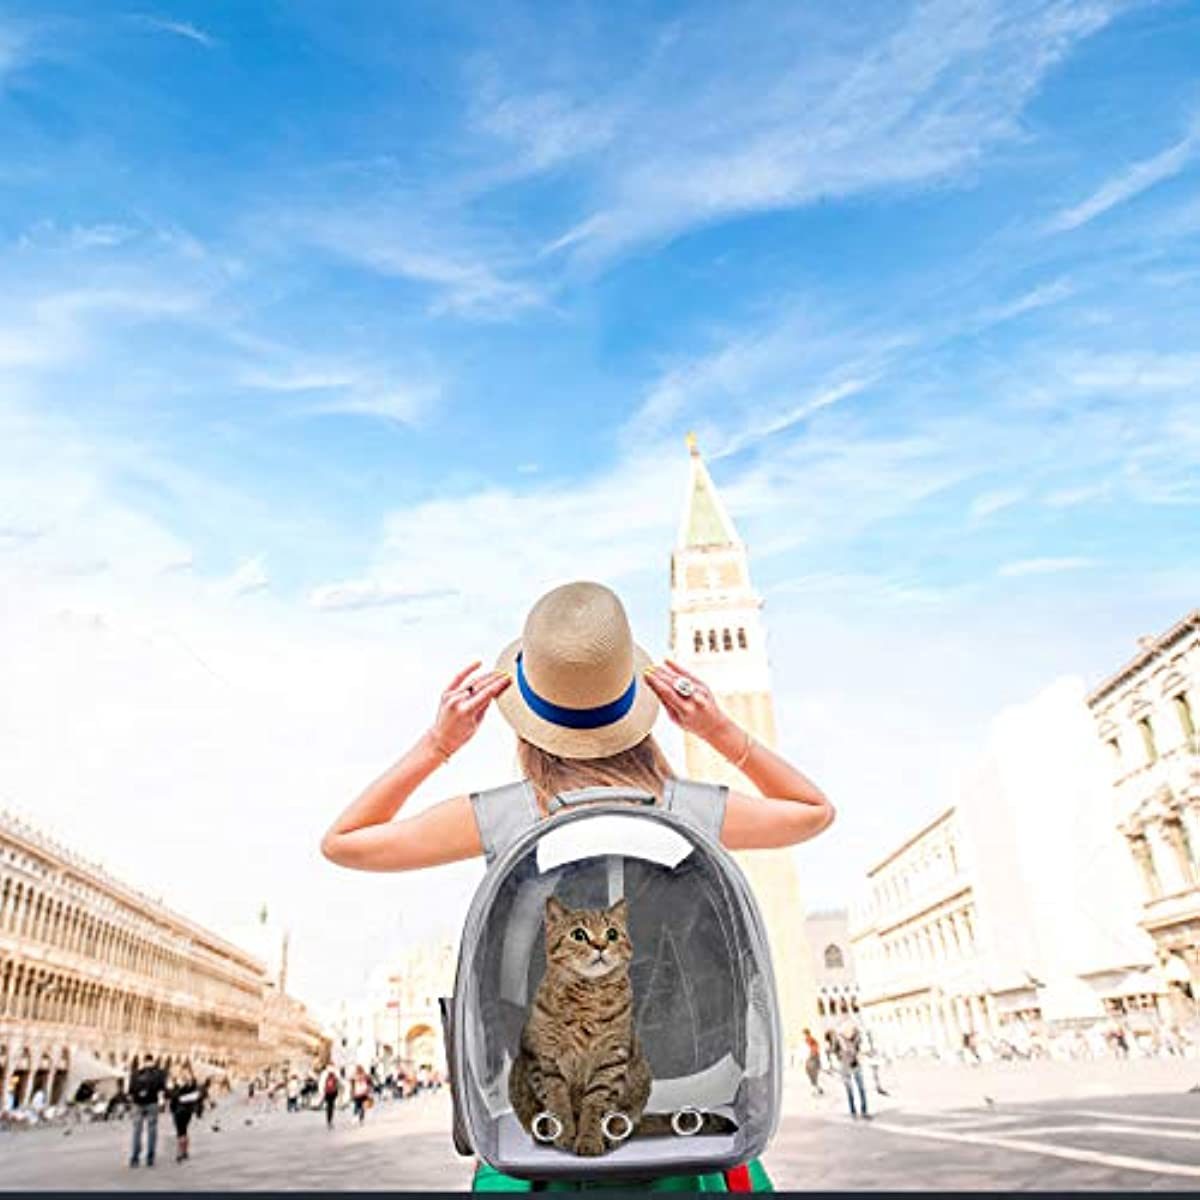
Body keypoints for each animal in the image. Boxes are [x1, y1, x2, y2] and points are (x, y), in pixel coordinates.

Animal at [504, 897, 729, 1156]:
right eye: (578, 934)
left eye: (611, 934)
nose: (600, 945)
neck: (587, 999)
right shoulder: (546, 1061)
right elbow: (557, 1102)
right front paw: (564, 1135)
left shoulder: (611, 1061)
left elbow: (595, 1105)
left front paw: (589, 1140)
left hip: (641, 1080)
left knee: (624, 1122)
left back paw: (613, 1135)